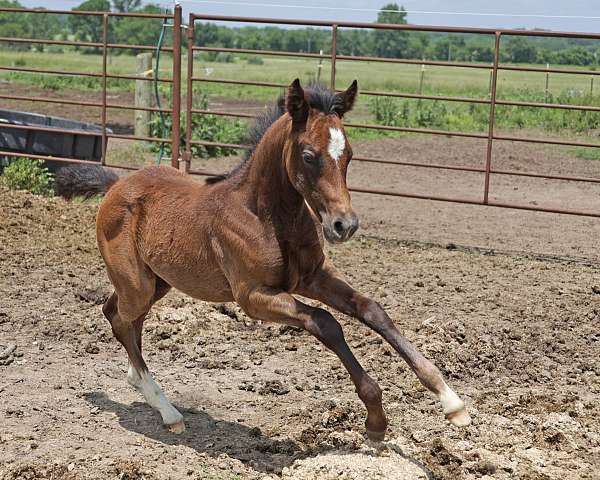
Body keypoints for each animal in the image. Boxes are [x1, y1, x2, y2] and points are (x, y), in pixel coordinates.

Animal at [94, 78, 472, 438]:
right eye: (308, 155)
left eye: (349, 154)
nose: (344, 225)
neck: (266, 215)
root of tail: (114, 186)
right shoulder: (253, 296)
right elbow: (325, 322)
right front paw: (376, 418)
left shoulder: (313, 276)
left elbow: (371, 310)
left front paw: (451, 402)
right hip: (139, 285)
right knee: (119, 319)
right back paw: (167, 410)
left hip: (158, 283)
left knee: (124, 317)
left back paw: (140, 383)